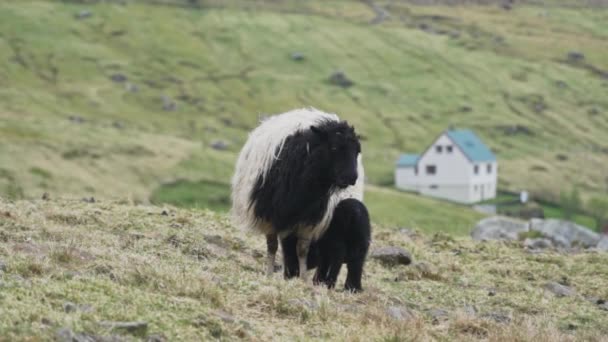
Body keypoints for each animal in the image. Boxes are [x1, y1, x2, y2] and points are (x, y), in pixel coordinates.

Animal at [230, 108, 364, 280]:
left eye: (357, 151)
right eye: (334, 148)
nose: (352, 177)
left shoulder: (310, 219)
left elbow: (302, 249)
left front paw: (303, 278)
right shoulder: (268, 215)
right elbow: (272, 246)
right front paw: (269, 275)